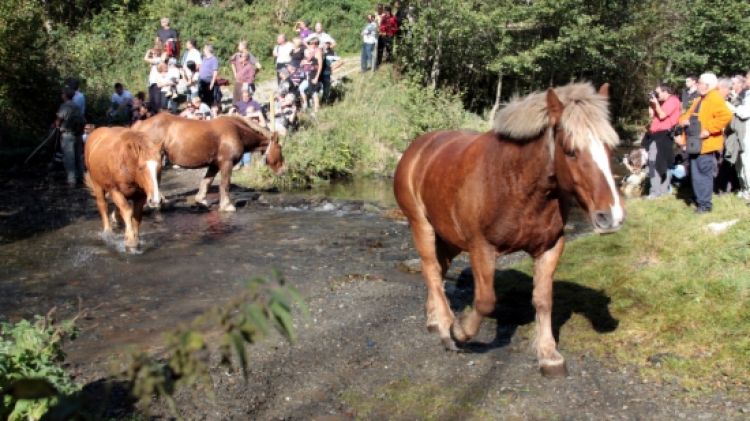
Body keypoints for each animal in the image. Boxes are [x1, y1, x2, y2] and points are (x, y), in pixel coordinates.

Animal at [134, 113, 284, 212]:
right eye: (281, 148)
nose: (283, 170)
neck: (237, 132)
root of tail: (139, 125)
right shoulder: (226, 163)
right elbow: (225, 184)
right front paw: (227, 205)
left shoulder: (214, 164)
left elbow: (207, 182)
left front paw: (201, 200)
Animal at [394, 81, 624, 374]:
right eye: (571, 151)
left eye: (610, 150)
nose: (611, 217)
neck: (515, 182)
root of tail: (417, 147)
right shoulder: (481, 247)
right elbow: (485, 301)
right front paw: (459, 331)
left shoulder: (550, 247)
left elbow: (543, 298)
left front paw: (549, 354)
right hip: (421, 225)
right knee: (432, 271)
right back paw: (445, 326)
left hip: (448, 235)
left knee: (438, 268)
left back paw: (434, 319)